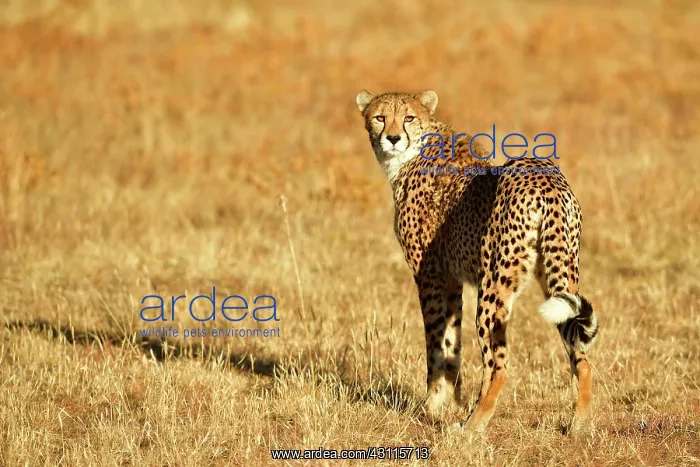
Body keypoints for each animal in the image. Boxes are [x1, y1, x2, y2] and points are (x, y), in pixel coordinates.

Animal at [355, 89, 599, 433]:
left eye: (408, 118)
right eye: (380, 117)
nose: (392, 138)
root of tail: (545, 177)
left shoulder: (429, 276)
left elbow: (435, 344)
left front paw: (432, 406)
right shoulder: (452, 281)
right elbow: (452, 344)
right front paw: (451, 402)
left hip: (494, 284)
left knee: (499, 366)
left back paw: (472, 425)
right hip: (561, 279)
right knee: (582, 356)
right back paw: (580, 423)